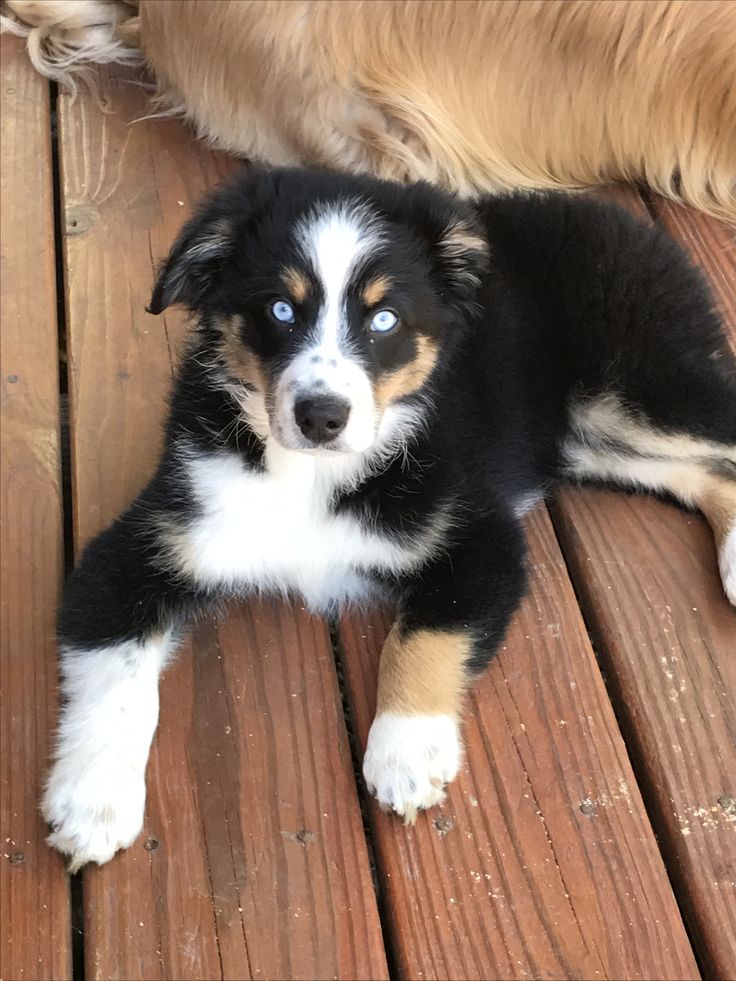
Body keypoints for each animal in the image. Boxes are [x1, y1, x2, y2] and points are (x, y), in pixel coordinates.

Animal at [41, 165, 736, 868]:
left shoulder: (480, 540)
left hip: (634, 389)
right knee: (707, 471)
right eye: (280, 309)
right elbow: (116, 680)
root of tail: (617, 216)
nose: (322, 417)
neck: (311, 477)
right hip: (591, 436)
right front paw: (93, 803)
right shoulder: (141, 547)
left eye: (384, 319)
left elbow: (422, 637)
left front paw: (405, 755)